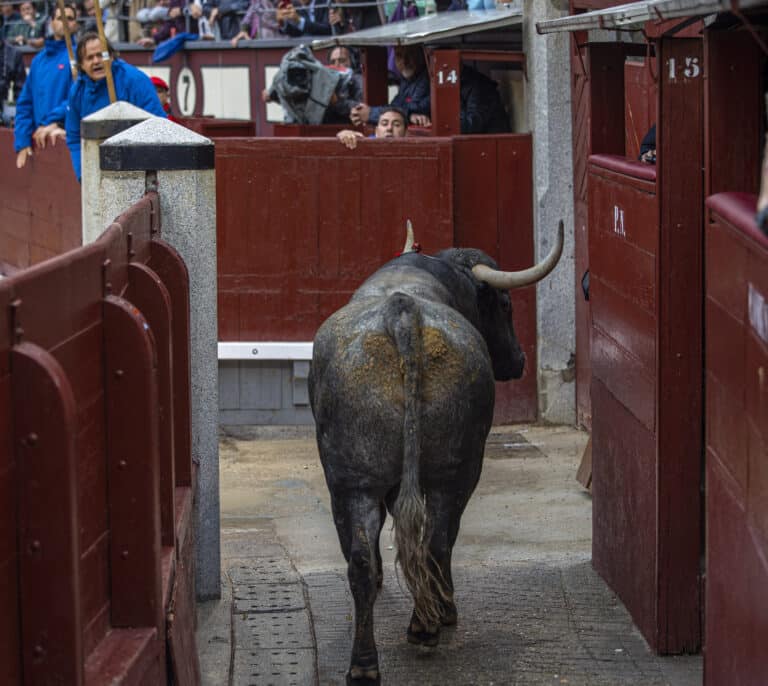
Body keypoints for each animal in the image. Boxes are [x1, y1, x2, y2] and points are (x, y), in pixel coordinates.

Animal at [306, 223, 564, 684]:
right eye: (505, 305)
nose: (519, 360)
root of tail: (402, 312)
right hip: (456, 474)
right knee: (438, 540)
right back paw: (432, 621)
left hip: (350, 482)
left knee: (361, 560)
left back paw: (365, 663)